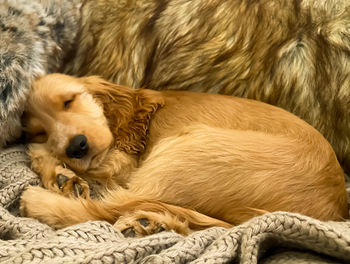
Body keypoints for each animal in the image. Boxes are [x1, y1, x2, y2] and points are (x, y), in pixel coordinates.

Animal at [20, 73, 348, 236]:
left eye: (68, 101)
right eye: (40, 130)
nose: (76, 146)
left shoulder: (123, 163)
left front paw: (53, 166)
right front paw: (56, 167)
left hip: (184, 150)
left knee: (105, 207)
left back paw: (40, 199)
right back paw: (151, 222)